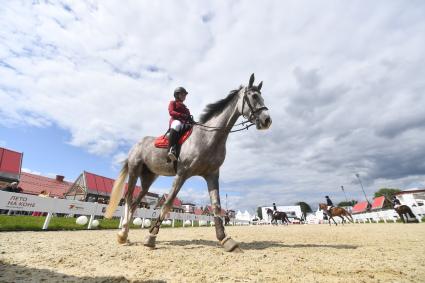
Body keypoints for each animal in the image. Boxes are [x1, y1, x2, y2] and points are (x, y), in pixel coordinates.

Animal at [105, 73, 272, 253]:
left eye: (261, 96)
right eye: (254, 96)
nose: (267, 120)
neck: (208, 137)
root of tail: (137, 144)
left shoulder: (212, 175)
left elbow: (216, 206)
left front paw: (225, 239)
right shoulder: (182, 174)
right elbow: (168, 204)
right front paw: (151, 238)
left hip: (148, 179)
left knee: (135, 203)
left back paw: (125, 234)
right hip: (134, 171)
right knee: (129, 199)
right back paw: (122, 233)